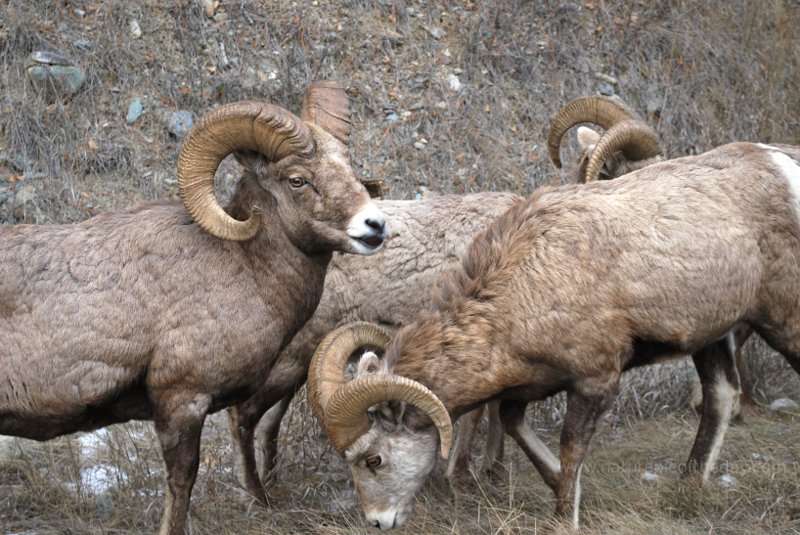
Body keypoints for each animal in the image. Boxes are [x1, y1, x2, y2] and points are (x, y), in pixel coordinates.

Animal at [0, 80, 388, 535]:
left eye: (349, 167)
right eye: (297, 179)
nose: (375, 226)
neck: (243, 266)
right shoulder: (183, 401)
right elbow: (182, 481)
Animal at [308, 140, 800, 528]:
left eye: (373, 459)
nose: (378, 521)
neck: (526, 282)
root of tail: (782, 164)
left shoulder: (595, 381)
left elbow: (570, 448)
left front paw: (566, 516)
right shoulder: (531, 384)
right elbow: (513, 423)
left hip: (782, 320)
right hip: (712, 337)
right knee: (721, 396)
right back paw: (688, 486)